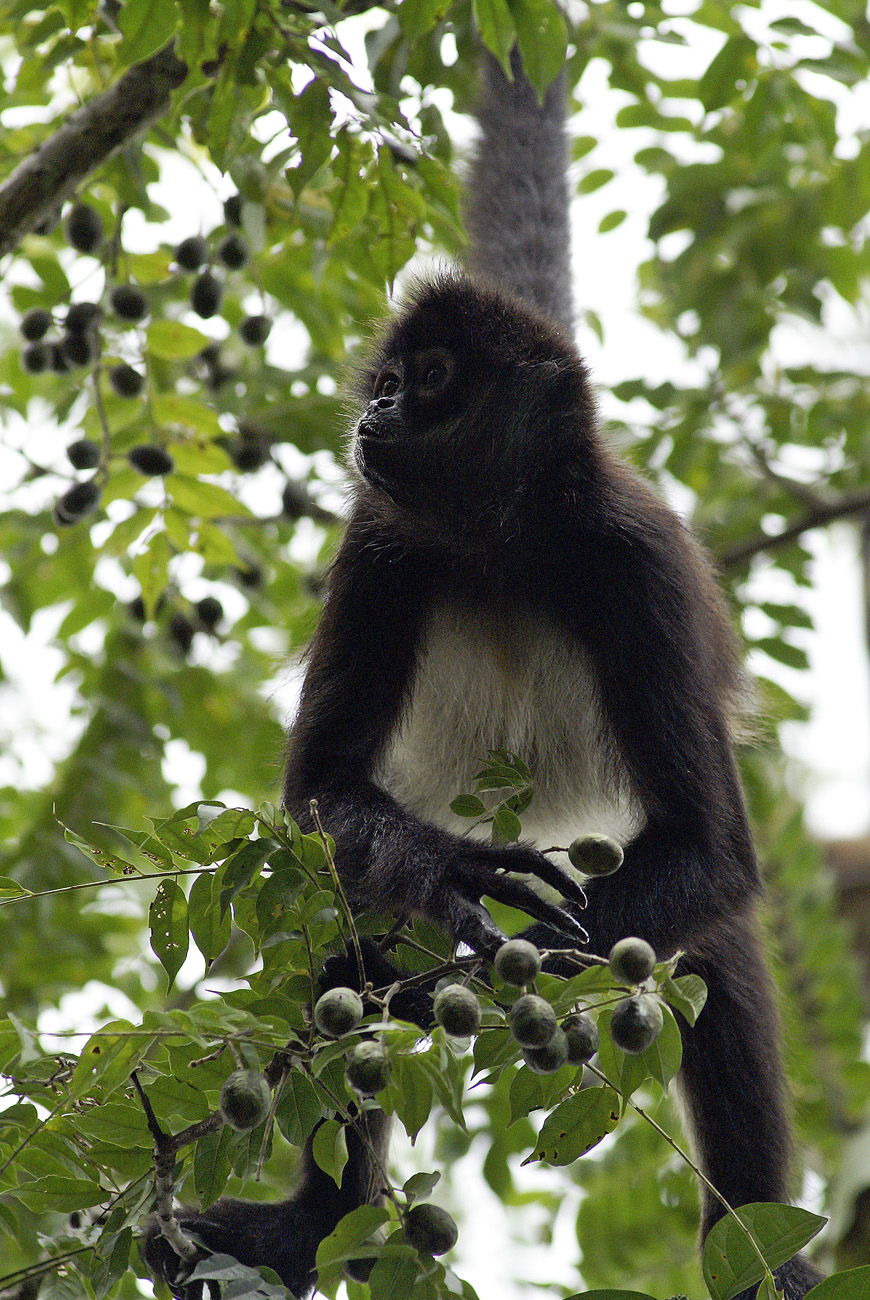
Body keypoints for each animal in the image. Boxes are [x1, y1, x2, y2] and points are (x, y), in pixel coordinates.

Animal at [142, 48, 824, 1300]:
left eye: (436, 377)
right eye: (391, 377)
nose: (377, 404)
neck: (502, 541)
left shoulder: (634, 563)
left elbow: (713, 855)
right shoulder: (378, 540)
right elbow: (318, 799)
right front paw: (458, 882)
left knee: (711, 949)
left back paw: (761, 1254)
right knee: (342, 872)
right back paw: (316, 1221)